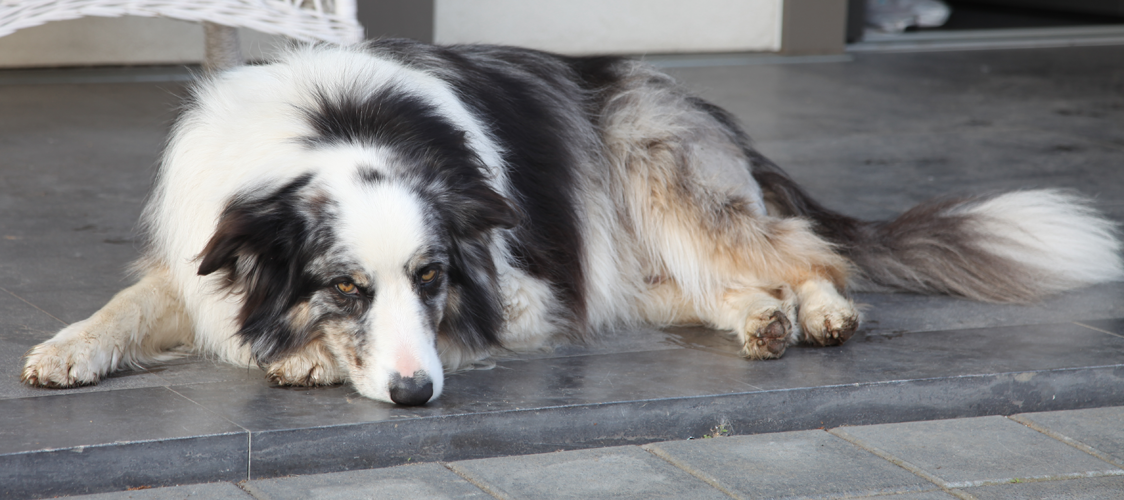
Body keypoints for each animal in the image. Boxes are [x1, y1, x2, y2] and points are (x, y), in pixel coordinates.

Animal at [19, 41, 1124, 404]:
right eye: (343, 285)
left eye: (431, 278)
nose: (416, 397)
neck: (326, 129)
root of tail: (689, 96)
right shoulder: (195, 253)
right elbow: (133, 302)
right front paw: (68, 347)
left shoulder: (523, 290)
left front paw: (299, 362)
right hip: (642, 271)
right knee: (721, 290)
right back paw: (763, 321)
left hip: (667, 190)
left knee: (801, 252)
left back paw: (816, 312)